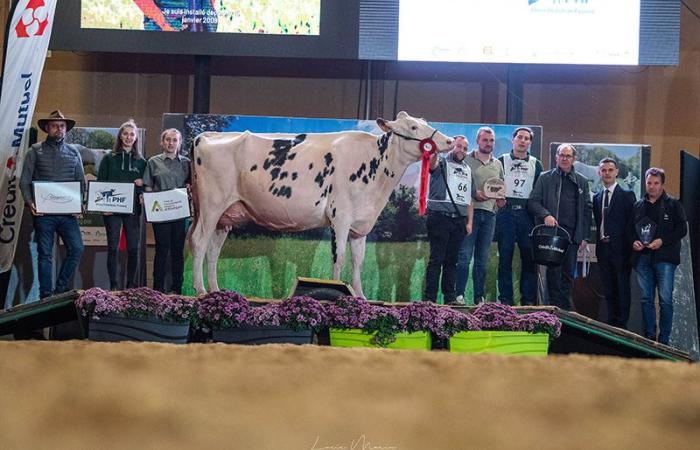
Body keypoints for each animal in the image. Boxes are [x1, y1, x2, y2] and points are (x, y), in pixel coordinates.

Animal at [189, 111, 456, 298]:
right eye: (413, 127)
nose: (450, 140)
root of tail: (206, 136)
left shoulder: (360, 225)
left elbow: (358, 261)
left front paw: (361, 296)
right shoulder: (340, 217)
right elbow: (339, 258)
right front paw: (338, 289)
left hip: (226, 215)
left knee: (213, 249)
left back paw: (215, 290)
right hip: (212, 205)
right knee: (199, 242)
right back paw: (200, 290)